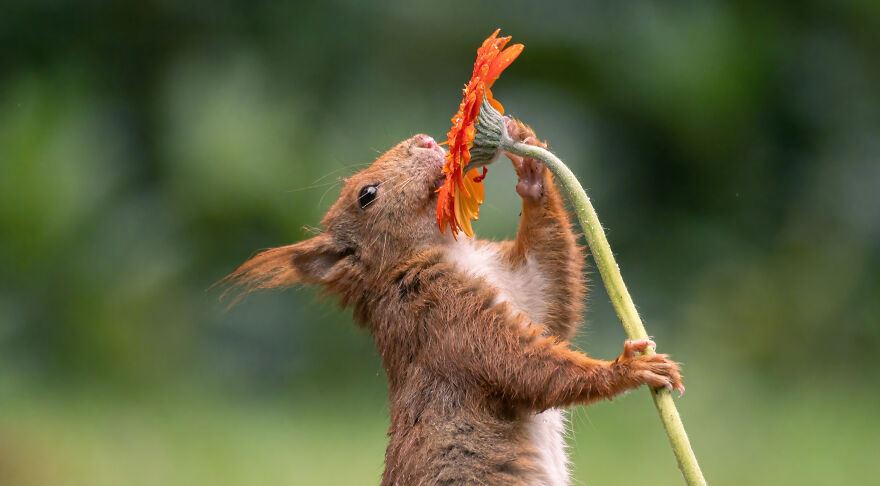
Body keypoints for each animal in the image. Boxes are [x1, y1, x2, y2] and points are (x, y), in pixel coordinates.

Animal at [223, 118, 684, 486]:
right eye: (366, 195)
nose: (426, 140)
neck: (447, 251)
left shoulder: (520, 288)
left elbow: (552, 296)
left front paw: (530, 165)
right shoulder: (441, 317)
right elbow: (521, 365)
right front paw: (630, 368)